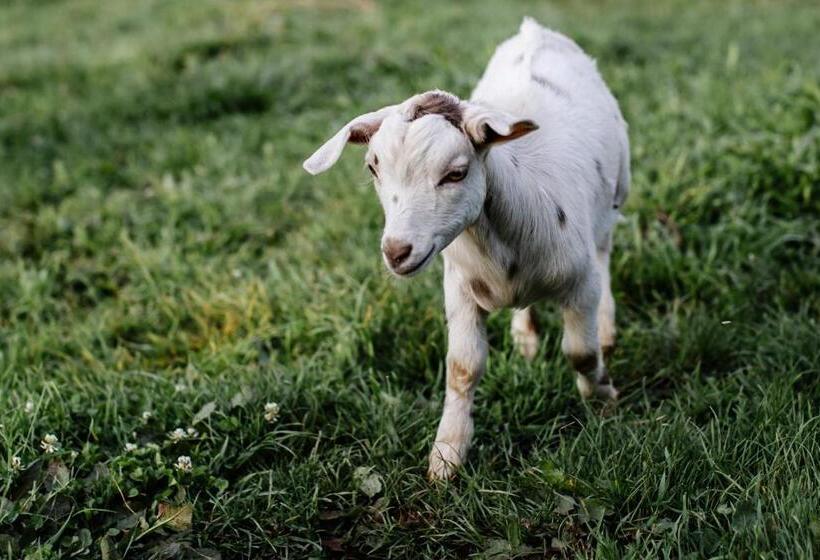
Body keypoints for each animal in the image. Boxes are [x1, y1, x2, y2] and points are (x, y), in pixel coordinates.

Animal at [304, 17, 630, 480]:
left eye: (456, 173)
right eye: (373, 167)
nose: (397, 251)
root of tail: (534, 30)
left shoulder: (579, 282)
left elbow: (581, 353)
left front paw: (602, 401)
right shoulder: (458, 287)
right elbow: (462, 367)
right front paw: (446, 457)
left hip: (618, 192)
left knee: (605, 253)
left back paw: (606, 327)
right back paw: (525, 338)